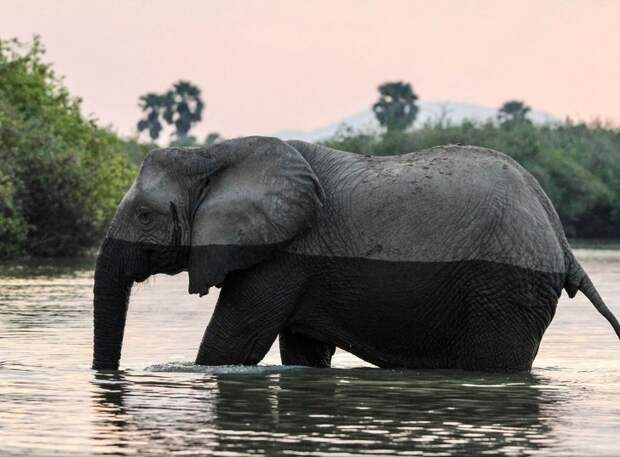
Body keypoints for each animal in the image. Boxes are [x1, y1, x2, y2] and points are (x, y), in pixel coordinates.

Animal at [92, 135, 620, 370]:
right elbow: (302, 353)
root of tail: (560, 236)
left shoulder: (286, 255)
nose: (106, 376)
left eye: (144, 215)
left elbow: (232, 344)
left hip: (505, 289)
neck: (215, 153)